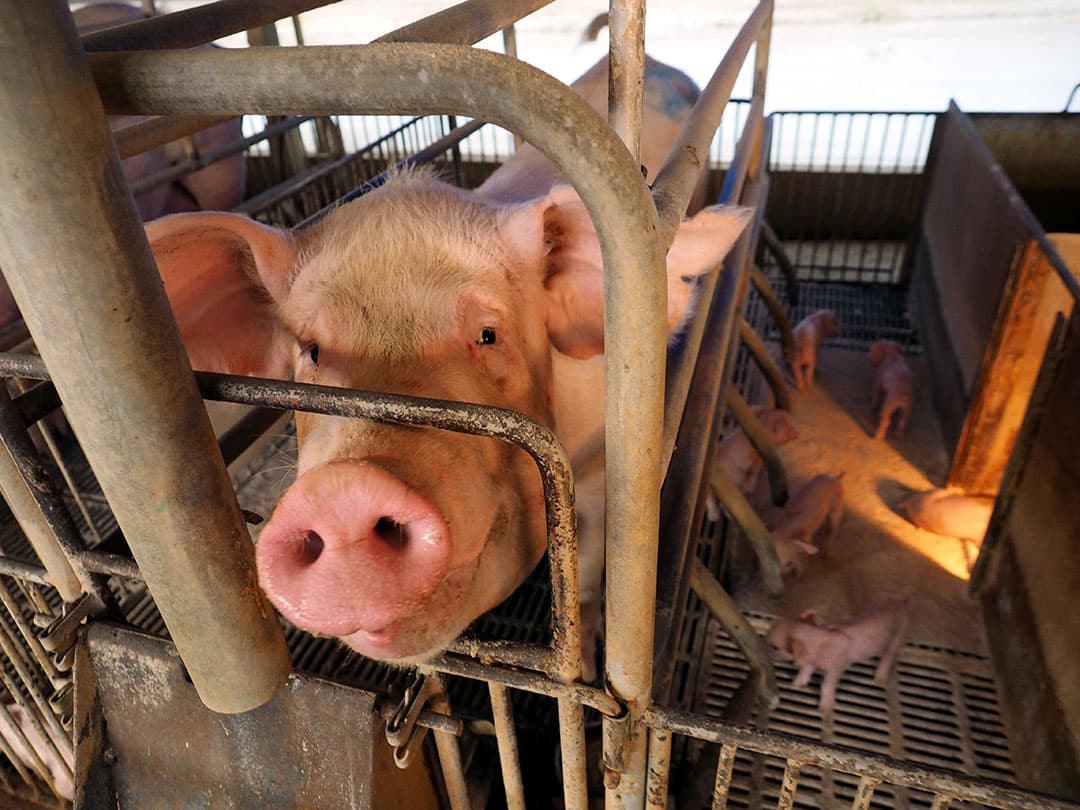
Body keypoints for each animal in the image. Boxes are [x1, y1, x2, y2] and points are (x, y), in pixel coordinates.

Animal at [145, 54, 751, 682]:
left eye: (488, 334)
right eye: (310, 348)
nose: (344, 490)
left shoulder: (605, 475)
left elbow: (585, 576)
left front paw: (584, 666)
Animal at [765, 597, 909, 711]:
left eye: (775, 647)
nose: (766, 653)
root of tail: (901, 601)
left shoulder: (837, 667)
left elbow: (827, 685)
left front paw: (824, 709)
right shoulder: (812, 661)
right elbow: (806, 671)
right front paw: (795, 685)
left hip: (899, 633)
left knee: (889, 655)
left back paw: (879, 679)